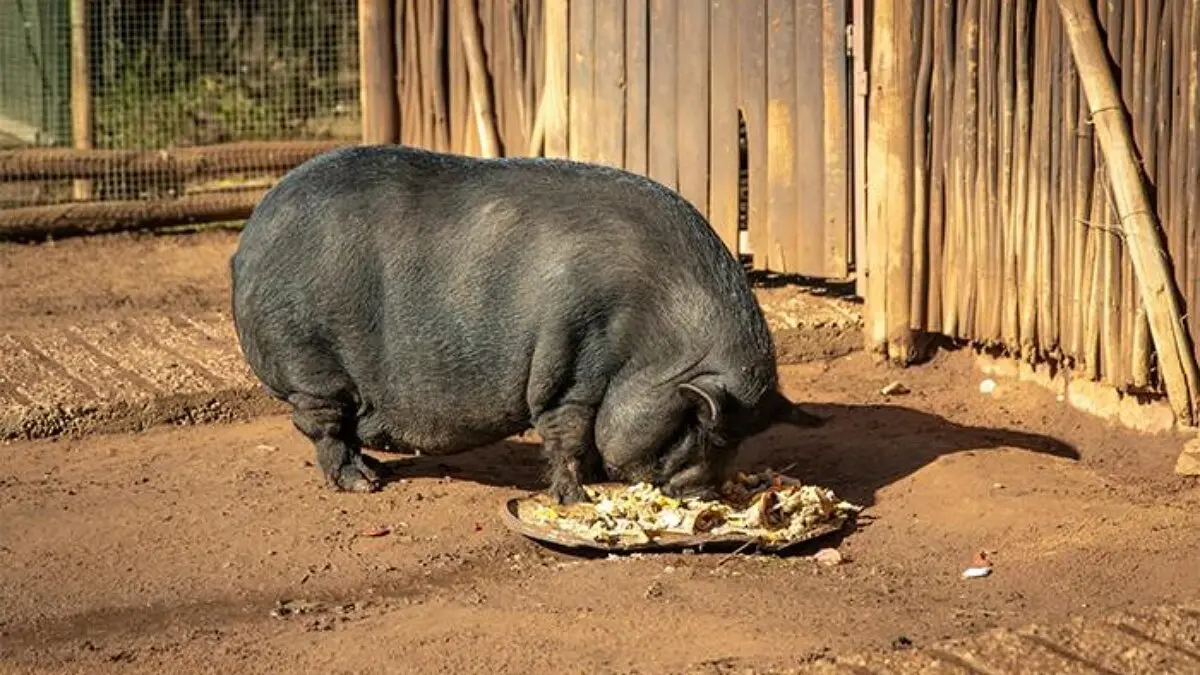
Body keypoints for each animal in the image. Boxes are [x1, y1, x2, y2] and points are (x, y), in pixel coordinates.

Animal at [229, 144, 826, 504]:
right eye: (700, 427)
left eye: (740, 440)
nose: (705, 495)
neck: (656, 345)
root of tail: (249, 236)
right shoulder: (571, 365)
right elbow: (567, 434)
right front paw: (579, 498)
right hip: (309, 363)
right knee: (325, 427)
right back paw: (366, 485)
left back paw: (379, 469)